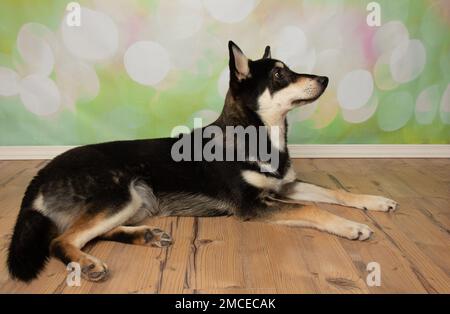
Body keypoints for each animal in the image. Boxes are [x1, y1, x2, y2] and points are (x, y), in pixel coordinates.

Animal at [7, 41, 398, 282]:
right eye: (279, 75)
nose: (325, 79)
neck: (258, 135)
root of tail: (41, 174)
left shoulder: (286, 185)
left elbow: (335, 193)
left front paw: (375, 201)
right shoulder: (253, 205)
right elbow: (313, 210)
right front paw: (351, 227)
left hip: (136, 200)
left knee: (91, 233)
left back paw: (144, 235)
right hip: (123, 192)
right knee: (62, 241)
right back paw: (88, 264)